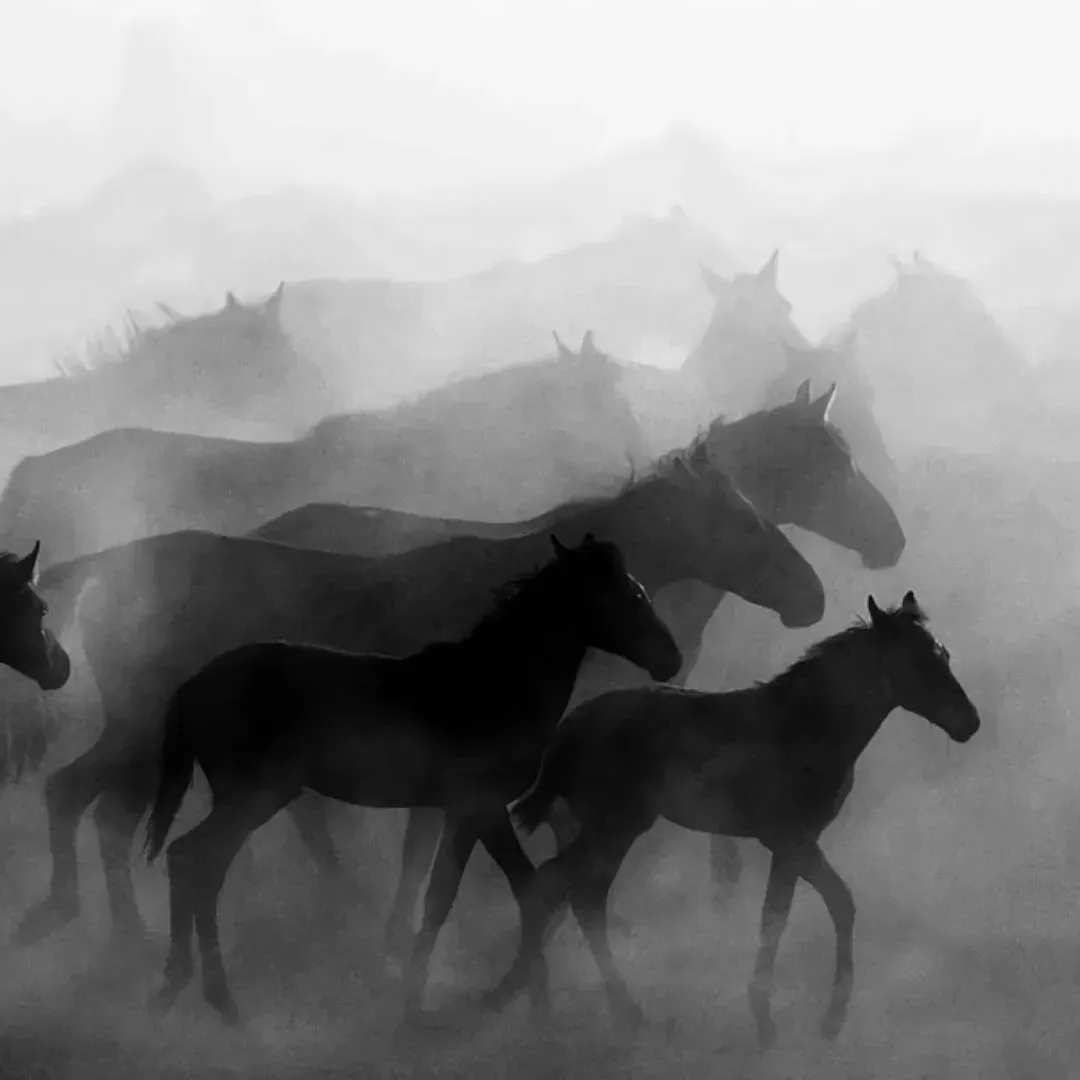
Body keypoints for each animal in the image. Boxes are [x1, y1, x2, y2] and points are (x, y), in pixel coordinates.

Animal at [14, 439, 825, 955]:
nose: (812, 597)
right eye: (747, 522)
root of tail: (104, 574)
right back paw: (121, 932)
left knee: (82, 802)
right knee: (94, 808)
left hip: (145, 737)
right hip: (149, 734)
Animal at [142, 534, 683, 1024]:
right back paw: (215, 998)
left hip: (251, 798)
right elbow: (457, 897)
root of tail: (192, 686)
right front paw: (424, 1001)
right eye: (630, 595)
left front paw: (526, 1001)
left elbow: (505, 890)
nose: (671, 660)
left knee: (193, 863)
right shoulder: (478, 805)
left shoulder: (471, 811)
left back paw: (185, 990)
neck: (495, 685)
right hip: (255, 796)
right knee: (196, 862)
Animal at [481, 592, 980, 1048]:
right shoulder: (789, 839)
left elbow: (834, 904)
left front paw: (828, 1019)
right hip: (615, 826)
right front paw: (771, 1020)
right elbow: (778, 918)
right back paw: (588, 1010)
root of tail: (568, 729)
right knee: (561, 891)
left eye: (944, 656)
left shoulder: (794, 843)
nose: (970, 723)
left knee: (574, 895)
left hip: (611, 830)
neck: (809, 722)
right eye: (916, 663)